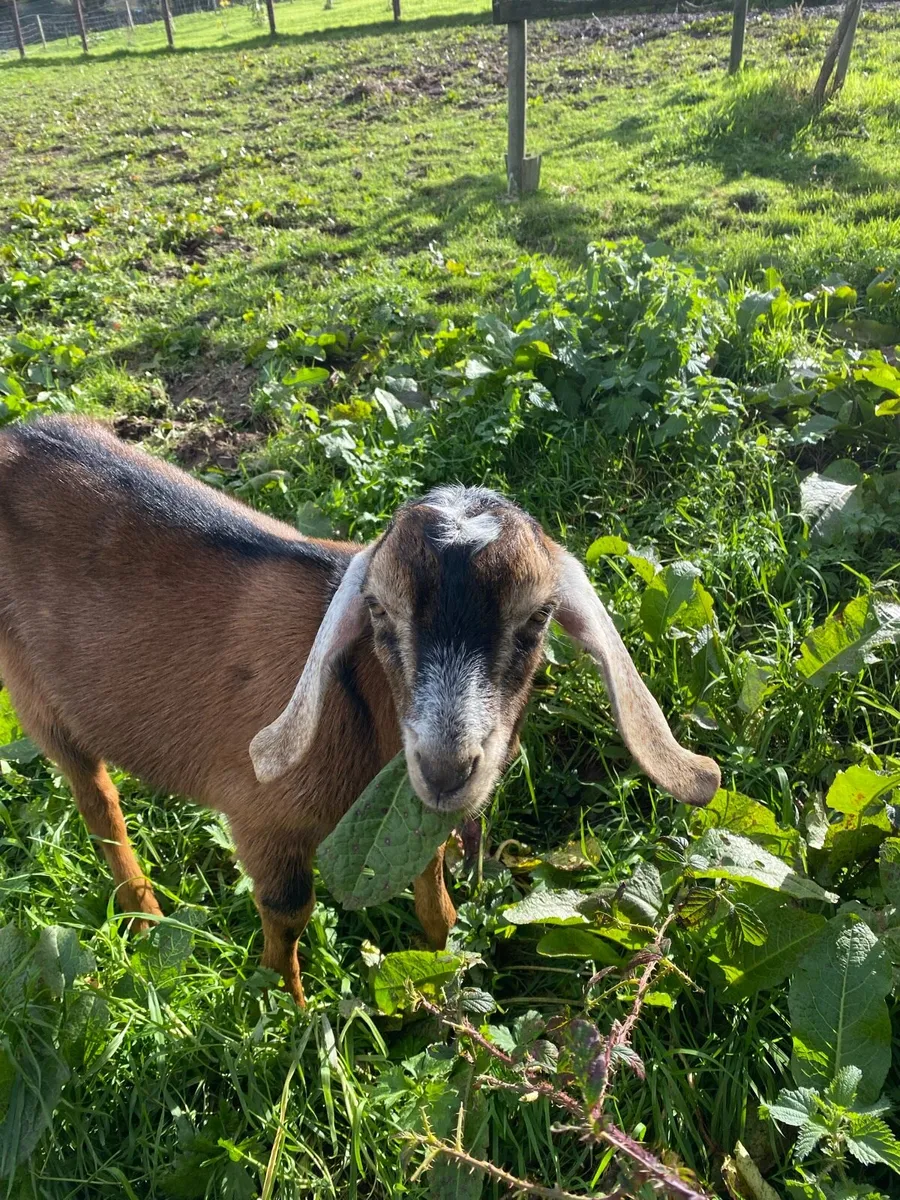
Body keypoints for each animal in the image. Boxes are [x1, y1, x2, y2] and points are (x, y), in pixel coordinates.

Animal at [0, 416, 720, 1004]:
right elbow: (287, 918)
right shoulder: (261, 820)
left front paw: (442, 982)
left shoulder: (406, 815)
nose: (446, 767)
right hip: (35, 699)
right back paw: (145, 912)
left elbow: (435, 898)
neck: (362, 711)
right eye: (377, 611)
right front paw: (287, 1014)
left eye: (538, 618)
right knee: (95, 798)